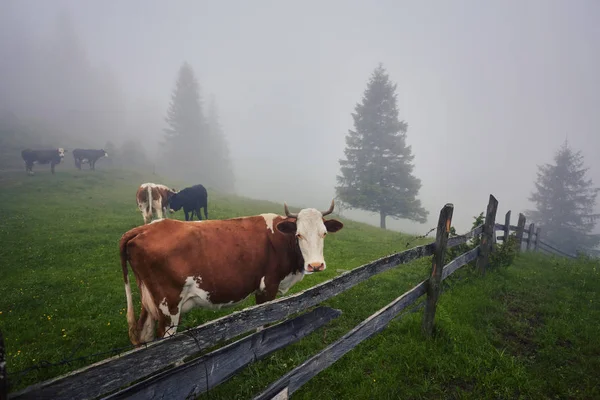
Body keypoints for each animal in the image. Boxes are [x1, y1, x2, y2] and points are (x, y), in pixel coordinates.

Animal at [118, 200, 342, 346]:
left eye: (324, 233)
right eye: (298, 234)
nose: (315, 265)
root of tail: (143, 229)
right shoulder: (267, 286)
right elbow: (263, 322)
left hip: (150, 302)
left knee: (146, 335)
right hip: (169, 306)